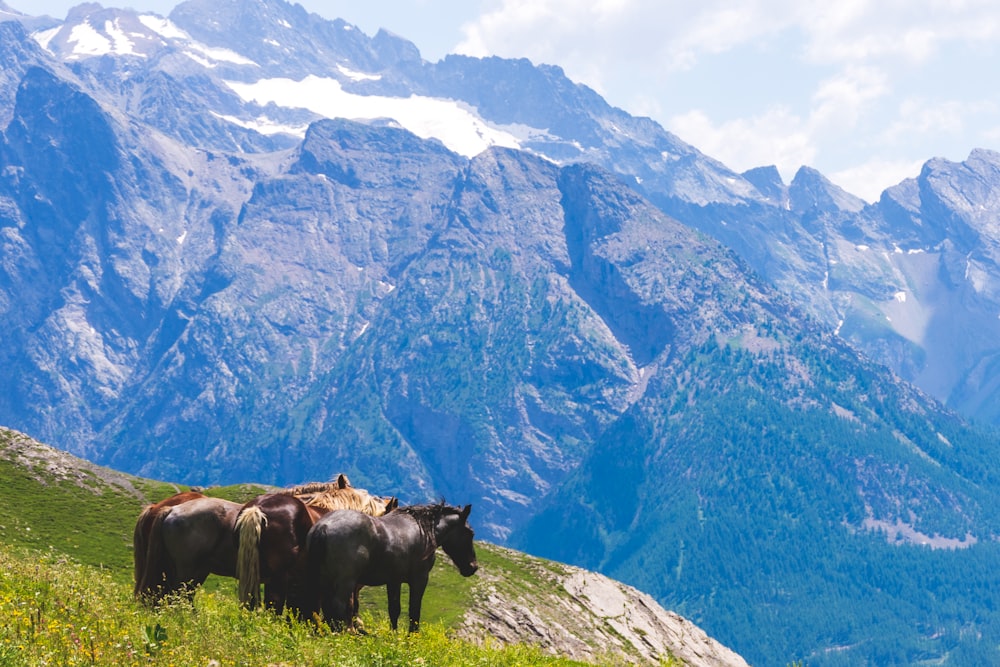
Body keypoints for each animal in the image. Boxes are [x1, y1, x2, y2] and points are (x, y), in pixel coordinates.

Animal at [300, 506, 476, 632]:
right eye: (470, 533)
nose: (473, 567)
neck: (422, 532)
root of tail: (323, 526)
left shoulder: (394, 581)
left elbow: (394, 610)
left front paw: (394, 635)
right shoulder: (419, 579)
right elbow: (414, 611)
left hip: (324, 580)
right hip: (345, 582)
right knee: (339, 606)